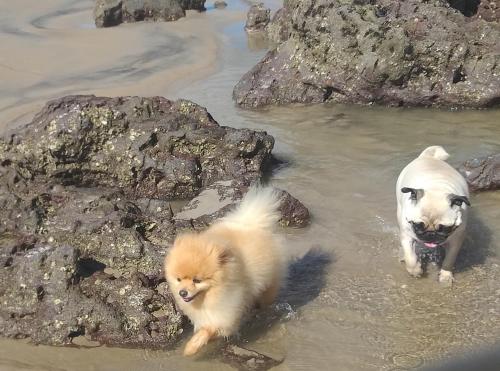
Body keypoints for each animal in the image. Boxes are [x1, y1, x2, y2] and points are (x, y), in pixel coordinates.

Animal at [164, 187, 286, 356]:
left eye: (197, 280)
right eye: (179, 279)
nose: (182, 293)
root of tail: (251, 223)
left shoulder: (227, 312)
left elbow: (211, 329)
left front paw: (192, 346)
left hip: (268, 287)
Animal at [396, 146, 470, 284]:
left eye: (444, 228)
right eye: (418, 226)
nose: (431, 234)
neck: (436, 189)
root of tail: (429, 157)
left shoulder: (456, 240)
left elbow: (449, 260)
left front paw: (445, 276)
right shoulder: (407, 236)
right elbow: (411, 258)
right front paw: (415, 270)